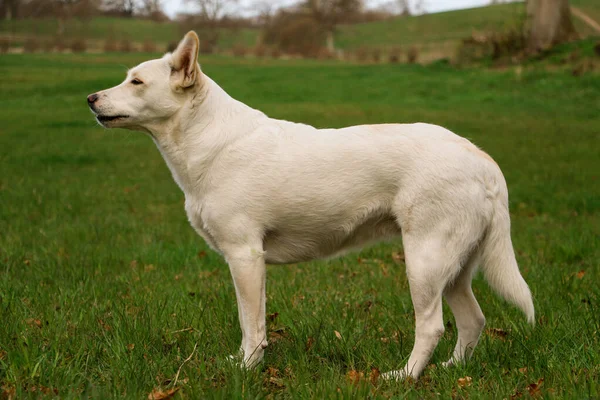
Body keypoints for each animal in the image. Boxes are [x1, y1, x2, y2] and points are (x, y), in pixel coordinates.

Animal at [86, 32, 532, 382]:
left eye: (137, 81)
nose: (90, 98)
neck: (209, 140)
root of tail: (481, 159)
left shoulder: (244, 256)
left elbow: (250, 323)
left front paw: (247, 370)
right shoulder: (248, 261)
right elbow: (253, 321)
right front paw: (245, 362)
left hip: (424, 261)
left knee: (432, 327)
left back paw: (402, 376)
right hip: (454, 267)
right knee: (473, 321)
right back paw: (451, 371)